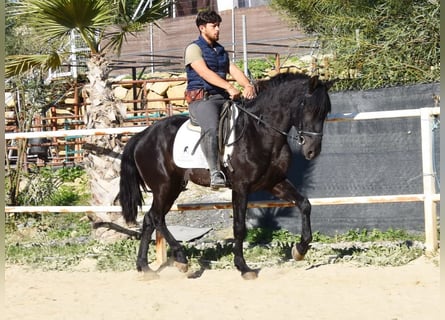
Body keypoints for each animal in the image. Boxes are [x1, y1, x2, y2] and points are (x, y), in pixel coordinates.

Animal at [119, 73, 332, 280]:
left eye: (325, 112)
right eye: (310, 108)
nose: (313, 151)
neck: (260, 132)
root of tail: (142, 136)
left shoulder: (274, 182)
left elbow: (304, 204)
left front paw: (300, 250)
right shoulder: (241, 187)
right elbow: (239, 227)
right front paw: (243, 268)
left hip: (173, 187)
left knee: (150, 218)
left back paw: (145, 267)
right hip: (165, 187)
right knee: (156, 217)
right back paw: (181, 259)